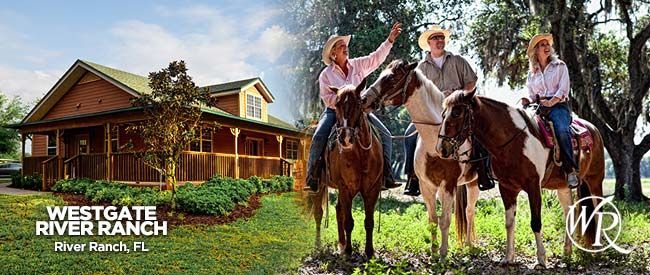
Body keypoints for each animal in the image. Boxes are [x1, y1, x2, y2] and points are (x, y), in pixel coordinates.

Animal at [310, 79, 382, 258]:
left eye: (358, 103)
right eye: (336, 104)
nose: (345, 138)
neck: (362, 155)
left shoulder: (372, 188)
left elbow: (369, 221)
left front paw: (369, 252)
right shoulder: (345, 187)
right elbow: (348, 221)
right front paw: (349, 252)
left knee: (338, 210)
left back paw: (341, 244)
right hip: (319, 186)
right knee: (319, 214)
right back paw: (319, 245)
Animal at [362, 59, 478, 260]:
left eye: (391, 77)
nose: (364, 99)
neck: (435, 141)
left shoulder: (448, 184)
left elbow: (445, 220)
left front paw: (443, 254)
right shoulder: (426, 186)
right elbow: (433, 220)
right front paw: (433, 253)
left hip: (473, 183)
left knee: (470, 211)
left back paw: (469, 245)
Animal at [432, 90, 604, 268]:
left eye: (457, 113)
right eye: (443, 114)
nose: (441, 148)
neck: (514, 142)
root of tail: (593, 128)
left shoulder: (533, 186)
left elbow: (536, 222)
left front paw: (541, 259)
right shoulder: (507, 188)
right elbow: (509, 223)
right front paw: (508, 257)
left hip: (595, 180)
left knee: (598, 210)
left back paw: (599, 250)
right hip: (562, 187)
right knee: (568, 212)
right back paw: (567, 252)